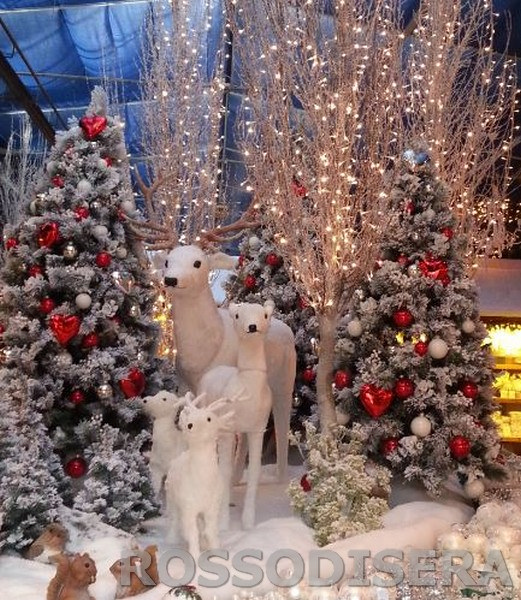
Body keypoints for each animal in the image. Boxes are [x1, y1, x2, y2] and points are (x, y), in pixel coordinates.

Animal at [127, 188, 296, 482]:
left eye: (197, 262)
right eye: (168, 261)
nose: (170, 279)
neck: (204, 351)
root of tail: (286, 329)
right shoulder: (185, 384)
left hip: (285, 380)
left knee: (281, 422)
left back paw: (279, 477)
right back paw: (237, 478)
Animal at [165, 394, 234, 556]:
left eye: (209, 419)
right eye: (190, 418)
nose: (189, 425)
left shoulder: (212, 507)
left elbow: (211, 530)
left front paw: (217, 551)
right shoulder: (188, 507)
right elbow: (192, 532)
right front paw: (195, 556)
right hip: (171, 499)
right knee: (174, 520)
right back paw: (171, 541)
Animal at [197, 302, 274, 528]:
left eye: (265, 315)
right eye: (238, 315)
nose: (252, 327)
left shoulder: (258, 429)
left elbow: (254, 471)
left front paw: (248, 523)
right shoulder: (227, 430)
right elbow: (224, 470)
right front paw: (223, 523)